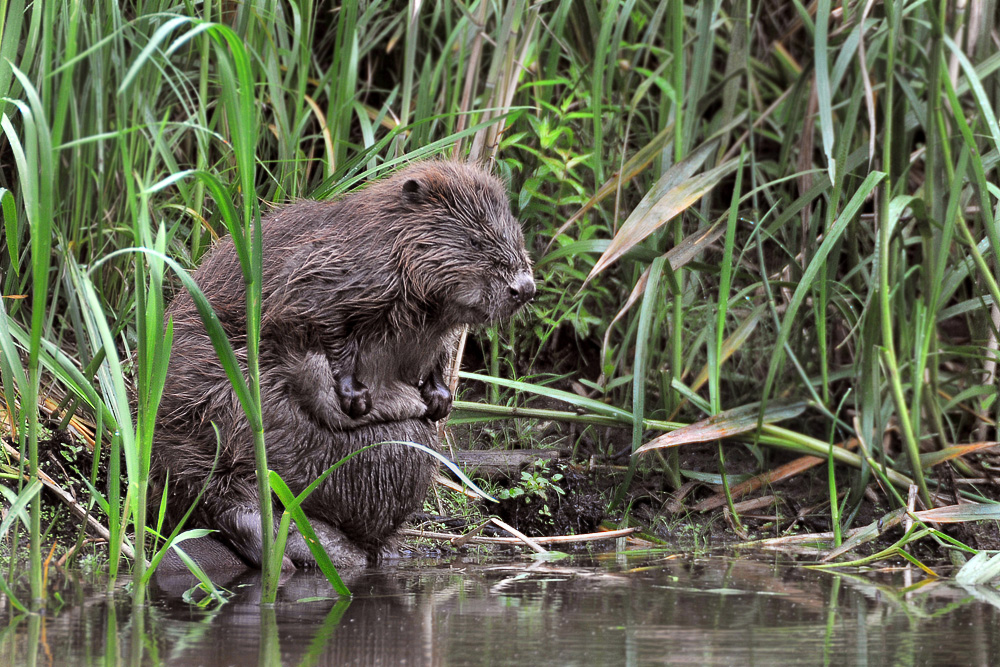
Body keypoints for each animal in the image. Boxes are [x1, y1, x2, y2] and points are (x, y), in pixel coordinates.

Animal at [152, 160, 536, 568]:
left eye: (517, 233)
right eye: (475, 241)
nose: (524, 288)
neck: (383, 240)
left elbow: (441, 351)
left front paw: (439, 399)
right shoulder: (325, 273)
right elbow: (315, 324)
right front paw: (356, 397)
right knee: (221, 491)